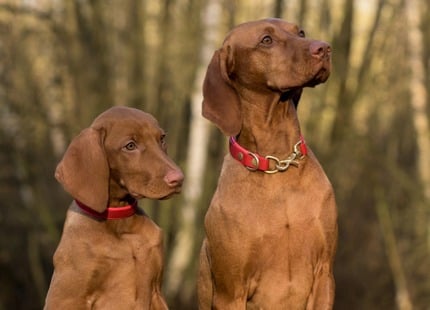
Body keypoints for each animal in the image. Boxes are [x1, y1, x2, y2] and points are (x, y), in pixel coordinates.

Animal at [44, 105, 184, 308]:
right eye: (130, 146)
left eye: (162, 138)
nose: (179, 179)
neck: (120, 223)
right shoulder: (67, 298)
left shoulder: (156, 293)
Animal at [197, 18, 336, 308]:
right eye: (266, 40)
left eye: (301, 32)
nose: (325, 48)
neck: (277, 162)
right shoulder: (231, 291)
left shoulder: (324, 274)